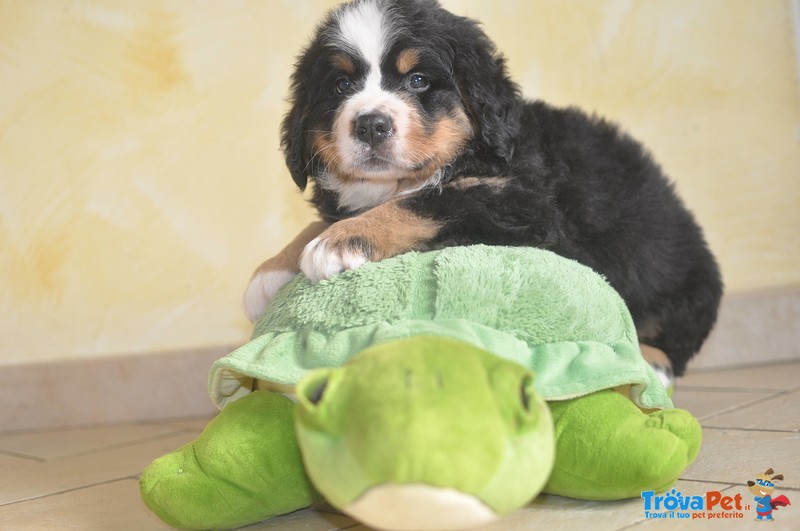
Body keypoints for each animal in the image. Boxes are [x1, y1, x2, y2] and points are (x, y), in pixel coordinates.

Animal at [241, 0, 720, 378]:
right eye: (341, 85)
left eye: (418, 80)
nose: (371, 124)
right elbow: (323, 220)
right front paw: (271, 270)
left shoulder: (522, 205)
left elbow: (428, 202)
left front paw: (342, 242)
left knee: (673, 340)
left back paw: (653, 361)